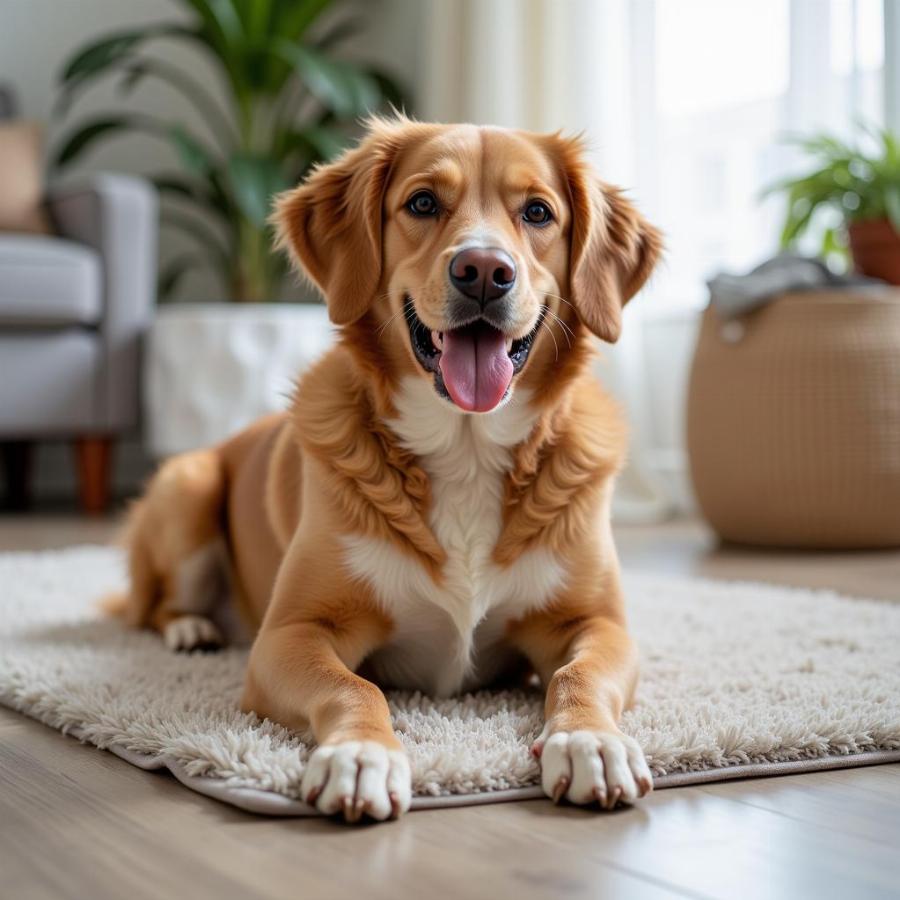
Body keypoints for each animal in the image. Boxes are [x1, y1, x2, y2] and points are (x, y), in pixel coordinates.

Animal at [121, 118, 660, 824]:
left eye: (538, 212)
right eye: (423, 202)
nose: (483, 272)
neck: (465, 447)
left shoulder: (599, 625)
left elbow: (579, 674)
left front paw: (590, 741)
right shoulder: (290, 635)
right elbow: (354, 688)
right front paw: (362, 756)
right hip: (189, 487)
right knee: (155, 606)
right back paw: (192, 628)